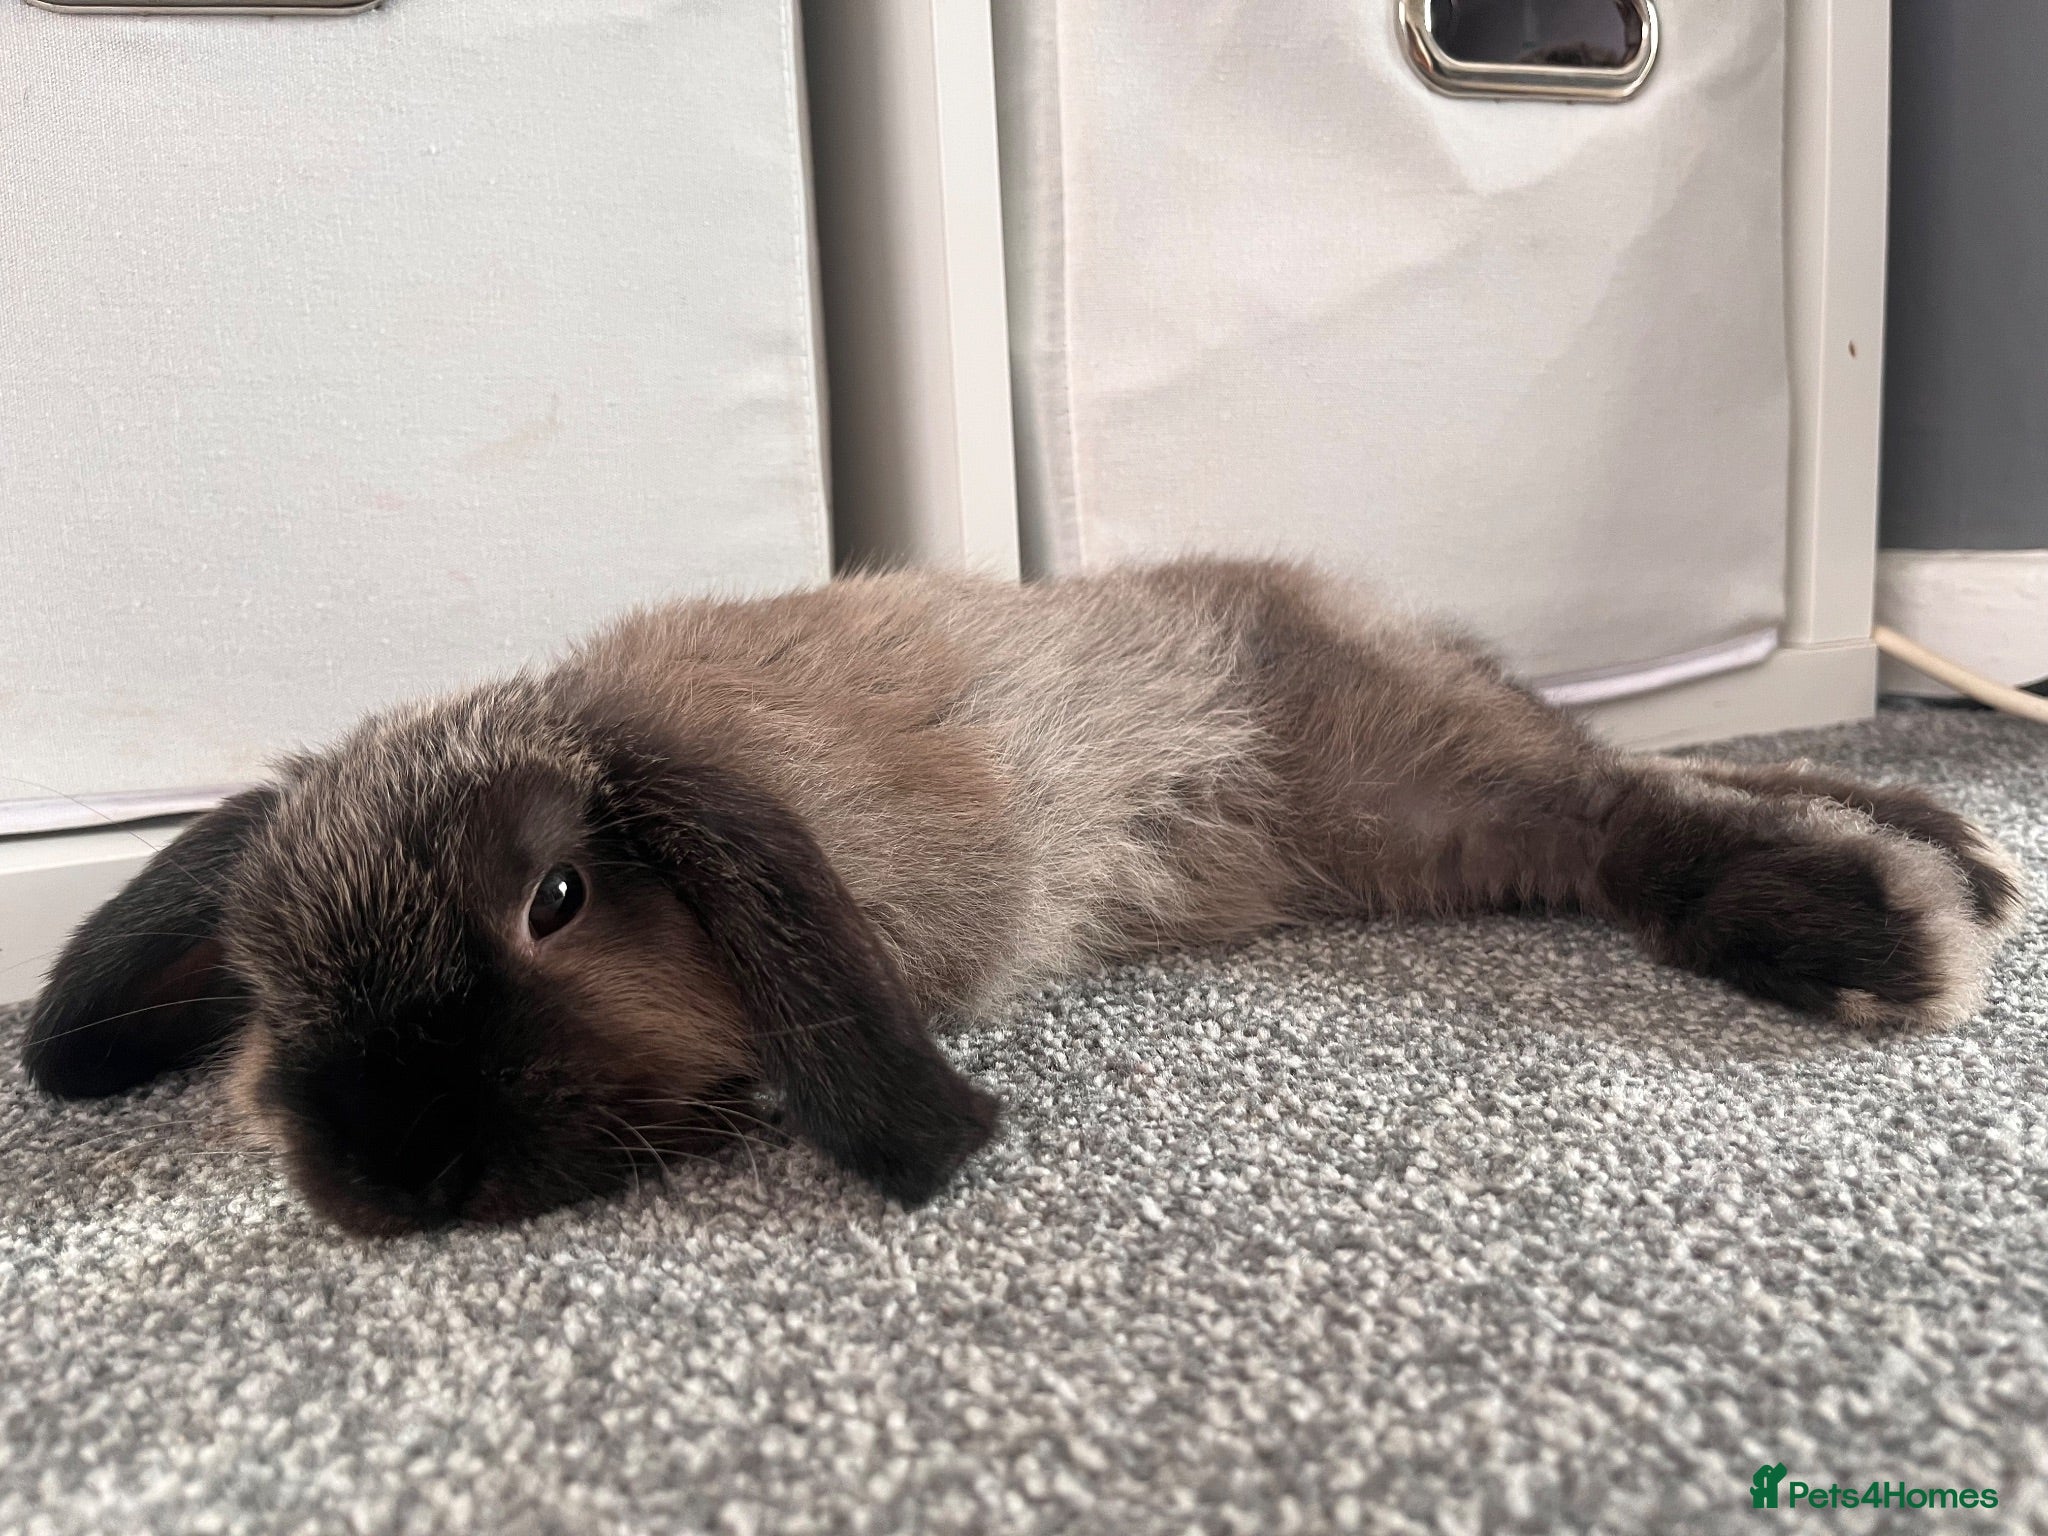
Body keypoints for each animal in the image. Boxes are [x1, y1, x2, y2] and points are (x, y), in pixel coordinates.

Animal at [20, 559, 2026, 1235]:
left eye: (560, 896)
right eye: (264, 985)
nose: (392, 1168)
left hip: (1418, 776)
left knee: (1632, 818)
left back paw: (1882, 927)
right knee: (1660, 784)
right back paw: (1966, 857)